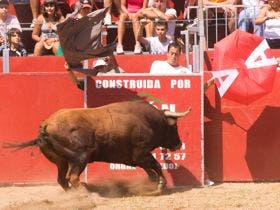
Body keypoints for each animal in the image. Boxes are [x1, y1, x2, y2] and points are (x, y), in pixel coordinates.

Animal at [4, 100, 191, 194]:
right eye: (174, 127)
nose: (178, 143)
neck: (147, 120)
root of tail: (46, 124)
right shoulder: (142, 153)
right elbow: (157, 166)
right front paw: (160, 185)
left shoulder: (135, 158)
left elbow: (150, 171)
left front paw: (152, 184)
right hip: (80, 158)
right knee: (72, 178)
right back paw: (87, 193)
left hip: (61, 162)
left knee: (62, 179)